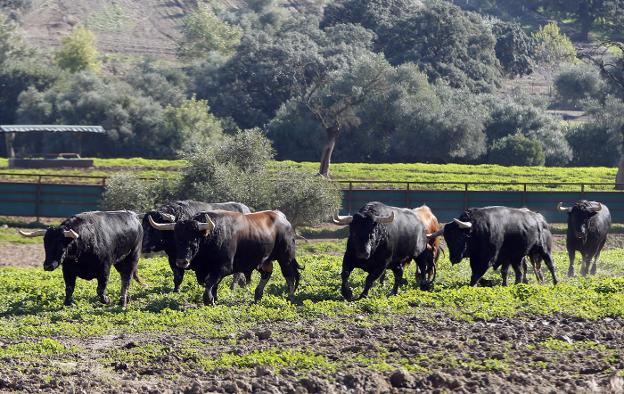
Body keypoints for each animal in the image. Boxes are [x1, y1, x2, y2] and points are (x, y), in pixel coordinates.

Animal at [432, 206, 560, 286]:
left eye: (459, 238)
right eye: (448, 240)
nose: (453, 259)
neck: (477, 229)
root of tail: (540, 219)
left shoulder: (487, 258)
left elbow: (477, 274)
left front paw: (472, 285)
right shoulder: (499, 257)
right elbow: (503, 271)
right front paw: (504, 284)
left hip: (544, 250)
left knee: (550, 265)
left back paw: (556, 282)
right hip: (519, 256)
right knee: (520, 271)